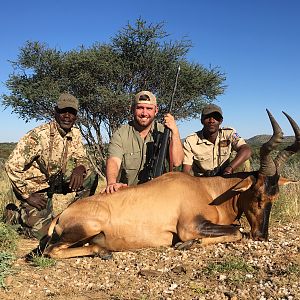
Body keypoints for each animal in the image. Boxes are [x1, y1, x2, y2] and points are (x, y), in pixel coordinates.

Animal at [43, 109, 298, 258]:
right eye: (257, 195)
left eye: (274, 196)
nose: (262, 236)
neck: (206, 190)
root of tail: (63, 214)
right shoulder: (189, 226)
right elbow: (237, 231)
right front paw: (186, 245)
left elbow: (237, 231)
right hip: (88, 228)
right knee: (51, 251)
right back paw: (102, 252)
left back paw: (101, 250)